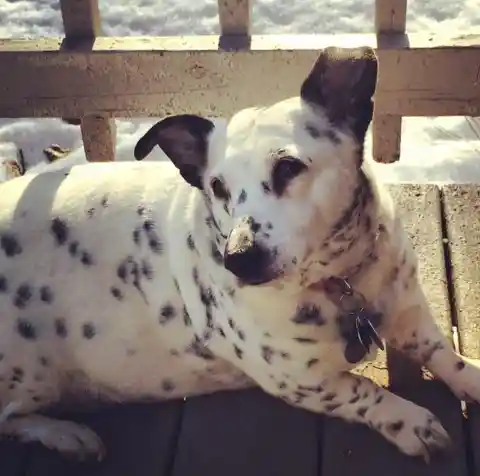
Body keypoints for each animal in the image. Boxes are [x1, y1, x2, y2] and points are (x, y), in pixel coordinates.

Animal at [0, 45, 476, 462]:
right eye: (217, 186)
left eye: (288, 167)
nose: (238, 258)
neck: (343, 280)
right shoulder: (301, 381)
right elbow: (367, 393)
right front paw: (411, 422)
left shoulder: (409, 311)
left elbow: (442, 353)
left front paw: (469, 375)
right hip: (32, 375)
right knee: (10, 419)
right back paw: (67, 435)